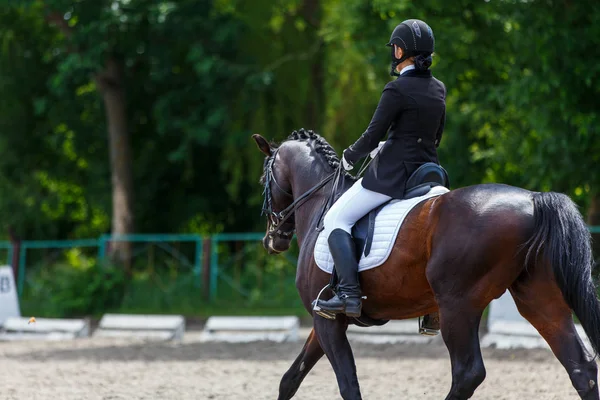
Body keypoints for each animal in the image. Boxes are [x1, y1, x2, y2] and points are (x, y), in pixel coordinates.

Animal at [251, 129, 600, 400]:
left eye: (263, 177)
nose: (273, 240)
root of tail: (532, 199)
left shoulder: (328, 320)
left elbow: (348, 384)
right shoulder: (323, 317)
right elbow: (290, 378)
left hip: (458, 305)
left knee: (467, 374)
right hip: (538, 299)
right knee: (580, 366)